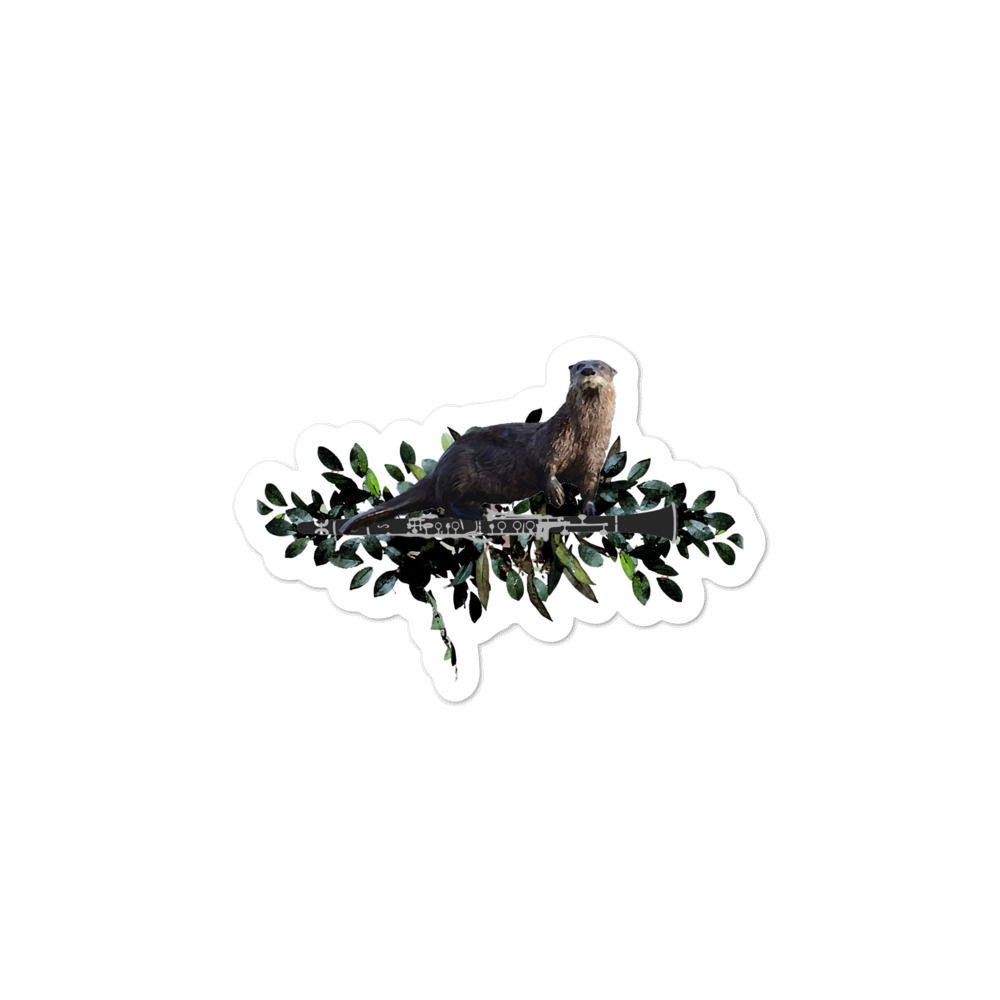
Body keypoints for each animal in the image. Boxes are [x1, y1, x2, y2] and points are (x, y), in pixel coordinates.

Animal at [338, 359, 617, 534]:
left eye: (601, 366)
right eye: (578, 366)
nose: (588, 370)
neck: (581, 437)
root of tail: (438, 468)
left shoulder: (594, 458)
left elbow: (590, 484)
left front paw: (589, 508)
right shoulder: (552, 442)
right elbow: (543, 464)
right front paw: (556, 492)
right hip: (460, 472)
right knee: (448, 503)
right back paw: (480, 512)